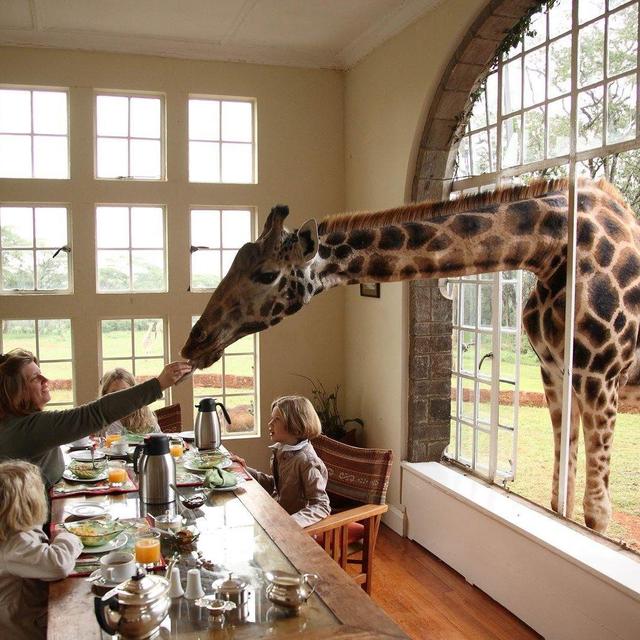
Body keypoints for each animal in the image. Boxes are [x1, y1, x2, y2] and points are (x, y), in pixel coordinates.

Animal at [181, 177, 640, 533]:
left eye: (267, 274)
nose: (194, 344)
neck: (549, 250)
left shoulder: (601, 379)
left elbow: (596, 513)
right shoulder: (556, 373)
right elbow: (561, 496)